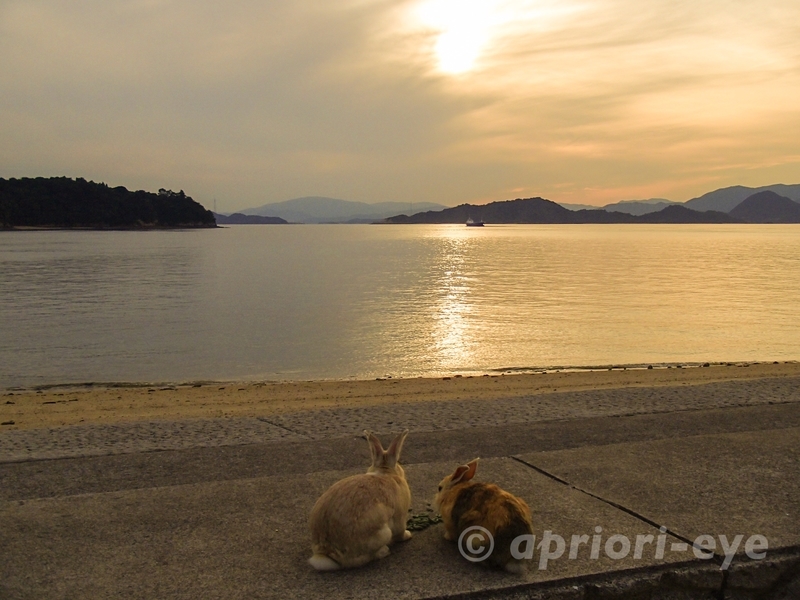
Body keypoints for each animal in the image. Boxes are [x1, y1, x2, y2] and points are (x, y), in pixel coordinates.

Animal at [308, 428, 412, 568]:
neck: (385, 472)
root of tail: (328, 552)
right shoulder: (400, 517)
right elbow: (401, 531)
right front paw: (408, 535)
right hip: (383, 533)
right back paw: (384, 551)